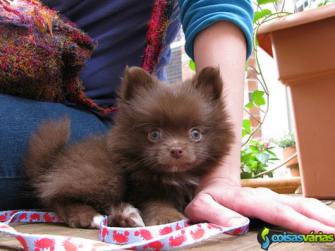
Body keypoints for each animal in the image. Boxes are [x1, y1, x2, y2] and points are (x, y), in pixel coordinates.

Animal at [24, 66, 234, 227]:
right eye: (154, 134)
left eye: (195, 134)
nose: (176, 150)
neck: (175, 176)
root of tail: (53, 162)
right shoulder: (143, 188)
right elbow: (157, 202)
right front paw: (168, 217)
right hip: (105, 175)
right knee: (56, 197)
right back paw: (89, 216)